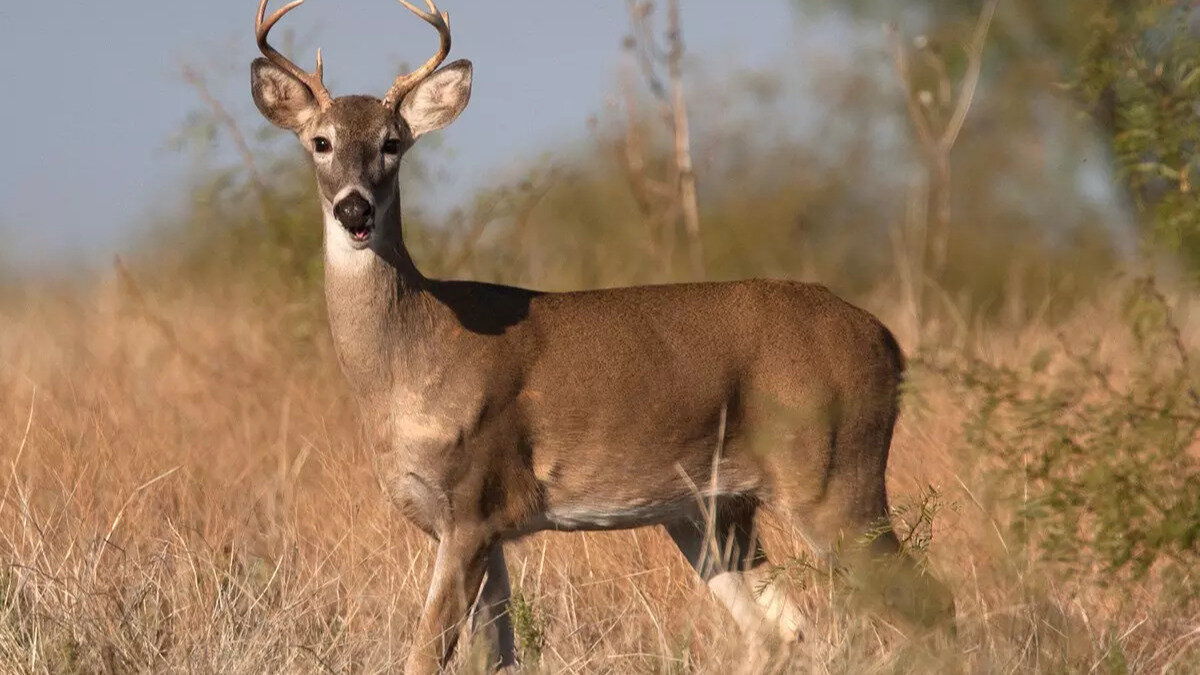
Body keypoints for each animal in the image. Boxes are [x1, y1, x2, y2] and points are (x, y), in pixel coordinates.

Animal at [249, 1, 954, 672]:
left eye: (393, 143)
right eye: (320, 141)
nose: (355, 209)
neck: (409, 359)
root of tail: (887, 342)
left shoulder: (475, 501)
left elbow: (426, 653)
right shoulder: (472, 526)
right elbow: (496, 655)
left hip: (833, 474)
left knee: (930, 606)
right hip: (712, 511)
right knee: (783, 630)